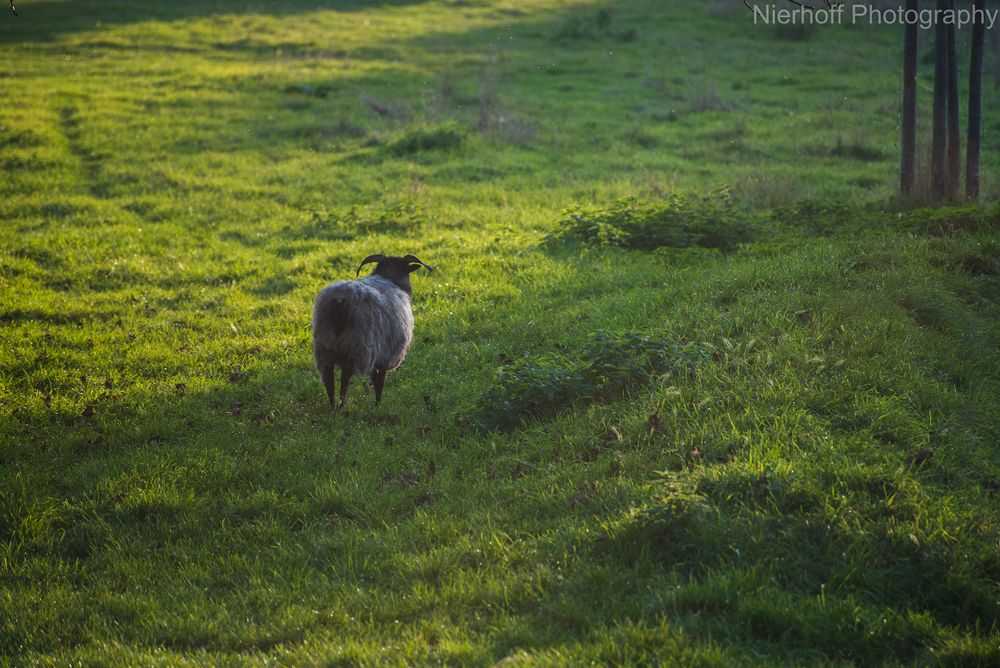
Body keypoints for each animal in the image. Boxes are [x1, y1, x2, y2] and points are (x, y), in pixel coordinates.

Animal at [310, 253, 432, 410]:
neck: (390, 278)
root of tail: (340, 301)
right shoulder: (384, 356)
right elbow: (378, 382)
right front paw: (377, 404)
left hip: (324, 346)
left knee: (329, 381)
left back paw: (332, 406)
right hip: (358, 347)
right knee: (345, 377)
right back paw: (341, 405)